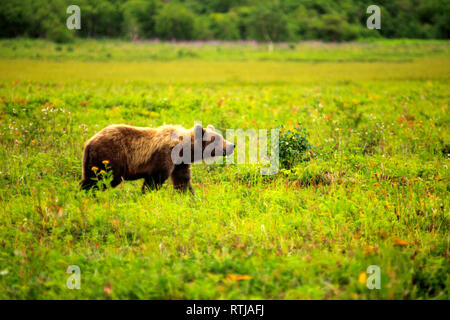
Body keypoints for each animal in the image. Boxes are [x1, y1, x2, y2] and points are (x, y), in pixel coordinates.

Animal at [81, 122, 236, 192]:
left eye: (221, 137)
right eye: (217, 139)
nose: (232, 145)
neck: (183, 148)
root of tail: (89, 143)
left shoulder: (180, 164)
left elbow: (183, 181)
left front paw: (191, 198)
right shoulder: (164, 156)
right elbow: (155, 180)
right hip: (110, 157)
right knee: (100, 179)